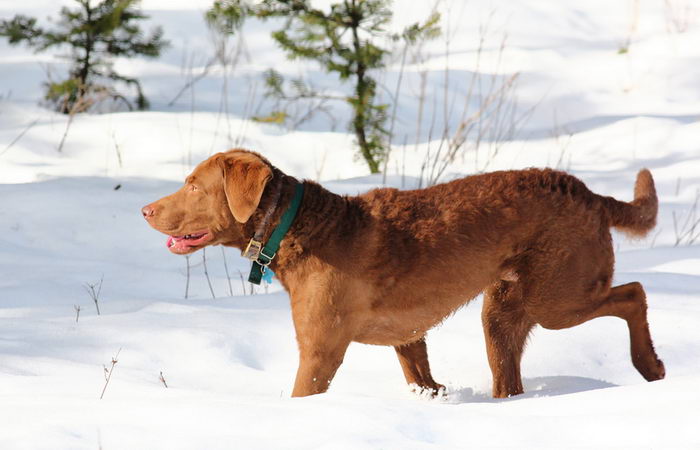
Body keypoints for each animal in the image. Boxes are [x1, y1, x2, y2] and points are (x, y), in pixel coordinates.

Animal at [139, 149, 664, 398]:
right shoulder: (407, 336)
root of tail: (592, 194)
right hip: (504, 309)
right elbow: (423, 378)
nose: (145, 210)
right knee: (508, 378)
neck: (294, 225)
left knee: (634, 292)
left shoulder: (320, 351)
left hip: (556, 297)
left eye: (193, 186)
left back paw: (650, 366)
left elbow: (302, 392)